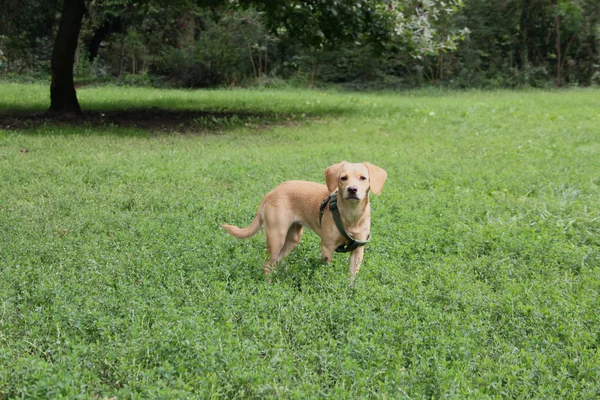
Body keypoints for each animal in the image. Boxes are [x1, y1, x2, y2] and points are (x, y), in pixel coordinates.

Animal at [223, 162, 386, 282]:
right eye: (343, 178)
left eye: (363, 178)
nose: (352, 189)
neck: (351, 215)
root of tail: (271, 192)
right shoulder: (327, 248)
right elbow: (326, 269)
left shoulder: (358, 249)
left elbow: (352, 276)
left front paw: (349, 291)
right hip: (277, 238)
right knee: (267, 264)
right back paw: (268, 284)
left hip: (292, 239)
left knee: (274, 262)